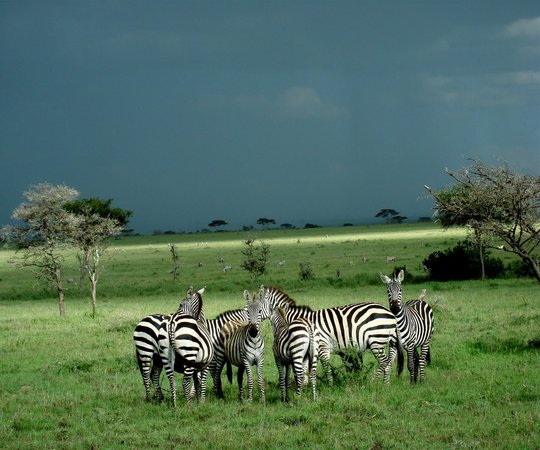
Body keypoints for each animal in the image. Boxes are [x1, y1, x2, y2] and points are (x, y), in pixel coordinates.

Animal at [258, 284, 400, 384]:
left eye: (256, 309)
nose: (253, 328)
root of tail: (390, 313)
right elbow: (306, 369)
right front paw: (305, 386)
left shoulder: (322, 347)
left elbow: (325, 367)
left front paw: (329, 385)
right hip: (383, 341)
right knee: (388, 363)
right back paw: (385, 385)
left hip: (376, 341)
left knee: (384, 362)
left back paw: (372, 383)